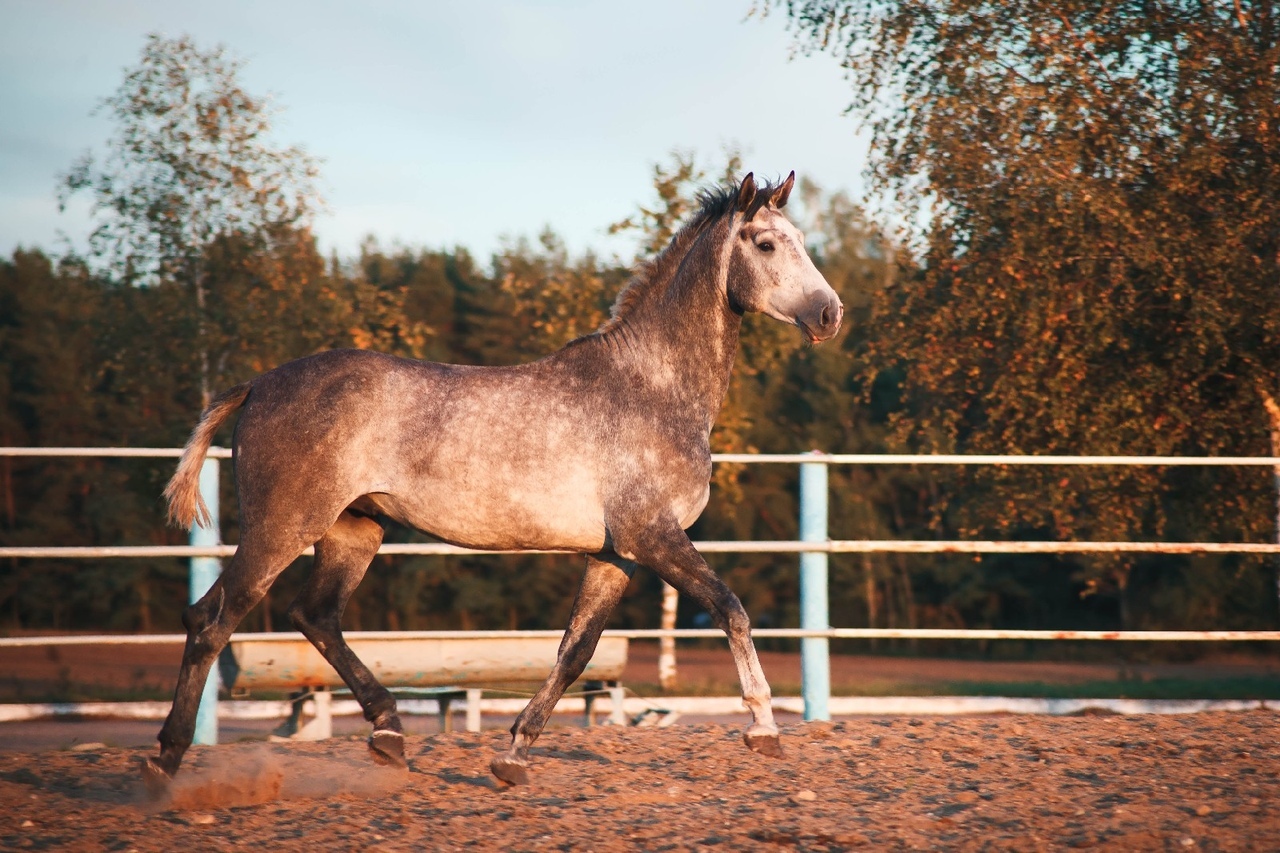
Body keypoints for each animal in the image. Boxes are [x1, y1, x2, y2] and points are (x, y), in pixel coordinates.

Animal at [147, 169, 839, 788]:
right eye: (766, 243)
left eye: (801, 237)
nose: (829, 315)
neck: (652, 387)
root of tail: (259, 383)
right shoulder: (654, 538)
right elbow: (731, 609)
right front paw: (763, 729)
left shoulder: (616, 554)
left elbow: (575, 652)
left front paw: (513, 756)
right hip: (283, 526)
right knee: (212, 619)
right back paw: (166, 760)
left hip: (354, 530)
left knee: (314, 616)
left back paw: (389, 733)